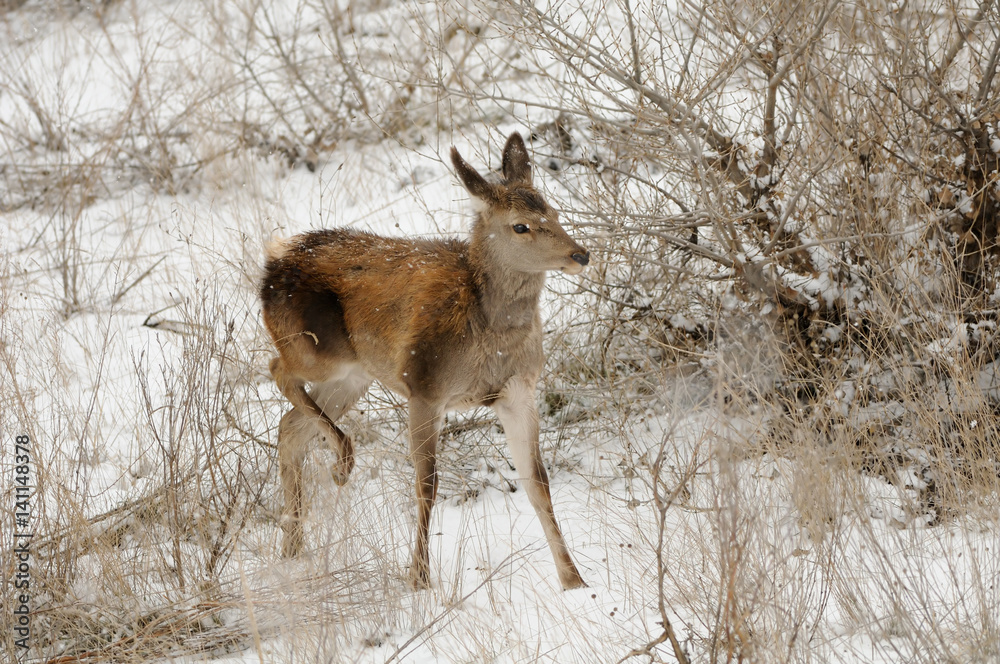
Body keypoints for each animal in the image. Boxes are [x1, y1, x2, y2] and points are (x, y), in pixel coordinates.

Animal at [260, 131, 589, 590]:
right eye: (520, 225)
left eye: (553, 211)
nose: (580, 255)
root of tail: (272, 261)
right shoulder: (424, 386)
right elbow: (427, 483)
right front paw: (418, 577)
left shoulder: (519, 391)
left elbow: (537, 483)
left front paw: (575, 581)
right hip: (315, 350)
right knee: (278, 371)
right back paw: (342, 463)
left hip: (355, 375)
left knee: (289, 427)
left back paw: (292, 548)